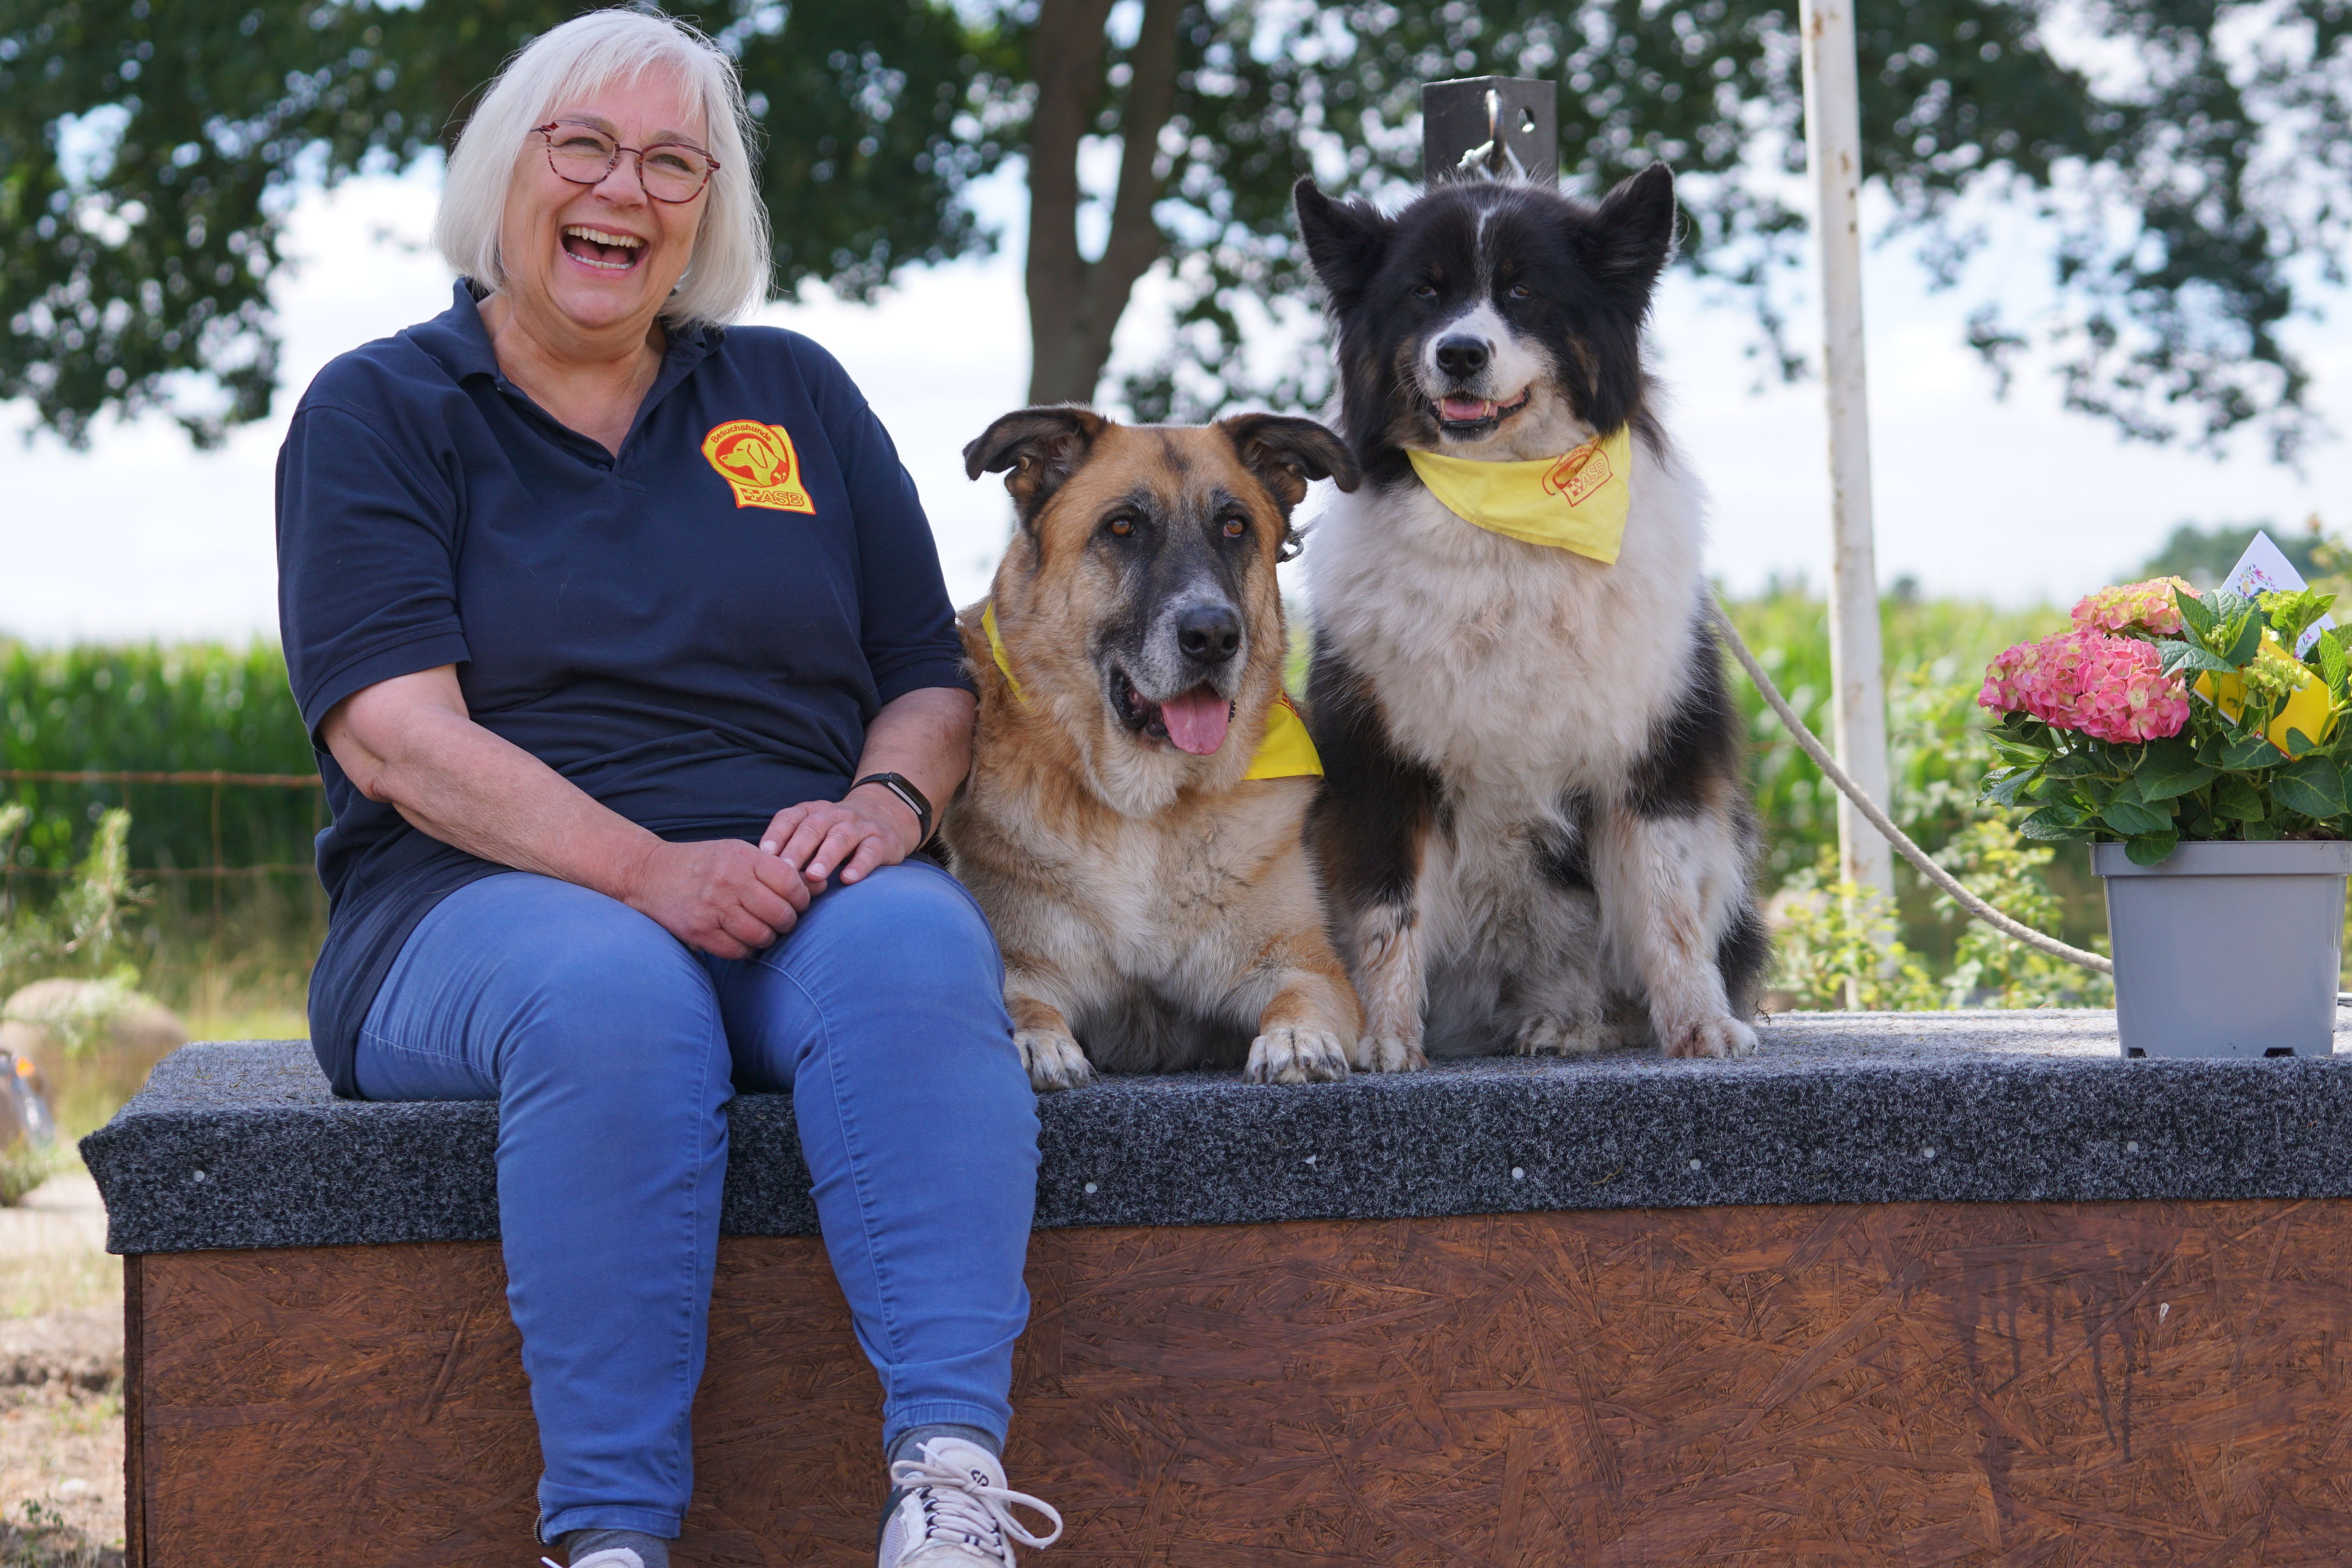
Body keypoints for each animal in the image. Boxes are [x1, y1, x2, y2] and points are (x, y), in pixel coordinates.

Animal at [945, 404, 1373, 1090]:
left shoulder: (1304, 964)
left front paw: (1297, 1039)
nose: (1214, 636)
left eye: (1234, 526)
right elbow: (1018, 1002)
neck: (1145, 809)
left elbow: (1300, 996)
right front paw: (1038, 1044)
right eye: (1122, 526)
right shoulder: (1023, 960)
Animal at [1288, 165, 1769, 1067]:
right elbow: (1386, 914)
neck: (1505, 528)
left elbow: (1668, 906)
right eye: (1424, 293)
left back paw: (1578, 1023)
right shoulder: (1379, 761)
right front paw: (1384, 1039)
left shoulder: (1651, 749)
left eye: (1522, 291)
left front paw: (1698, 1024)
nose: (1460, 352)